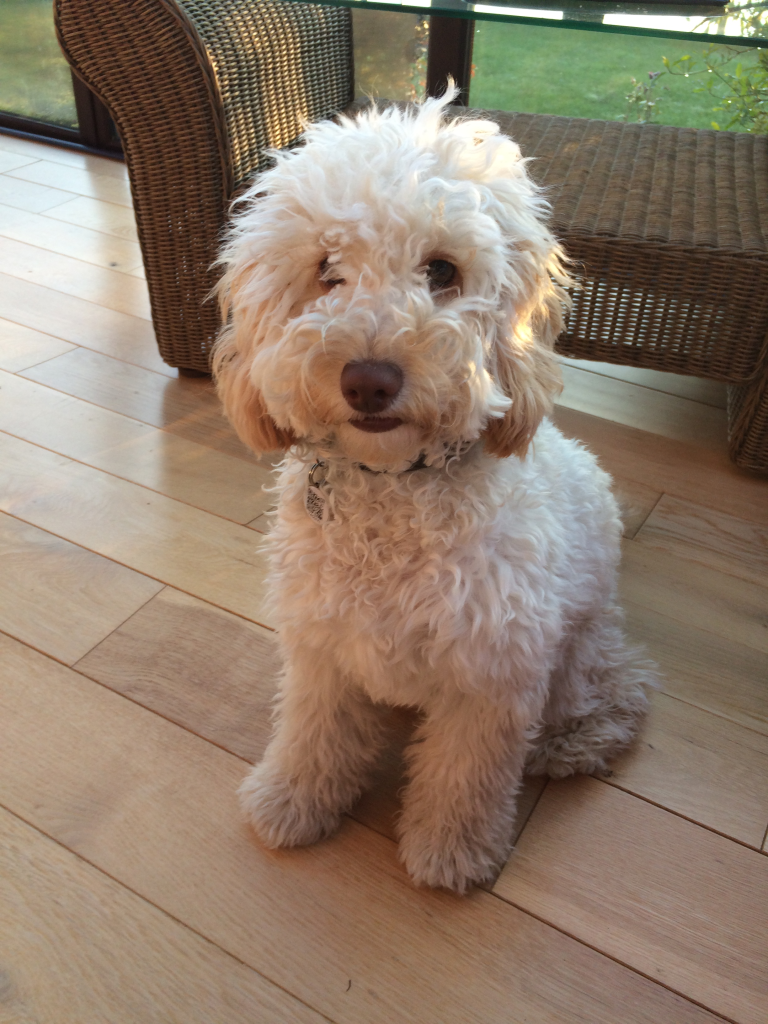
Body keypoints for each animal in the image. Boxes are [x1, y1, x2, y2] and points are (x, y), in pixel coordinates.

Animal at [214, 94, 659, 897]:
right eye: (326, 269)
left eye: (442, 270)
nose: (368, 380)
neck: (395, 493)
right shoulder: (322, 645)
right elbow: (312, 729)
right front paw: (293, 799)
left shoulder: (494, 670)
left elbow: (465, 775)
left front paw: (452, 851)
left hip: (581, 650)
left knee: (622, 688)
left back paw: (573, 742)